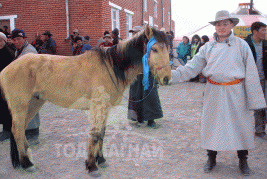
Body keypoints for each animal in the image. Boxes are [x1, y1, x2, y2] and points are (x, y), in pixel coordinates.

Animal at [0, 25, 172, 177]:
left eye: (168, 49)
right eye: (154, 49)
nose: (166, 79)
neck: (111, 67)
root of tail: (7, 69)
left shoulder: (105, 108)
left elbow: (102, 133)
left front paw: (100, 159)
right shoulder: (98, 107)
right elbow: (95, 134)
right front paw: (92, 166)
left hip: (33, 104)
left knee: (21, 130)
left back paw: (25, 159)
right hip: (21, 106)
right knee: (17, 130)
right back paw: (26, 163)